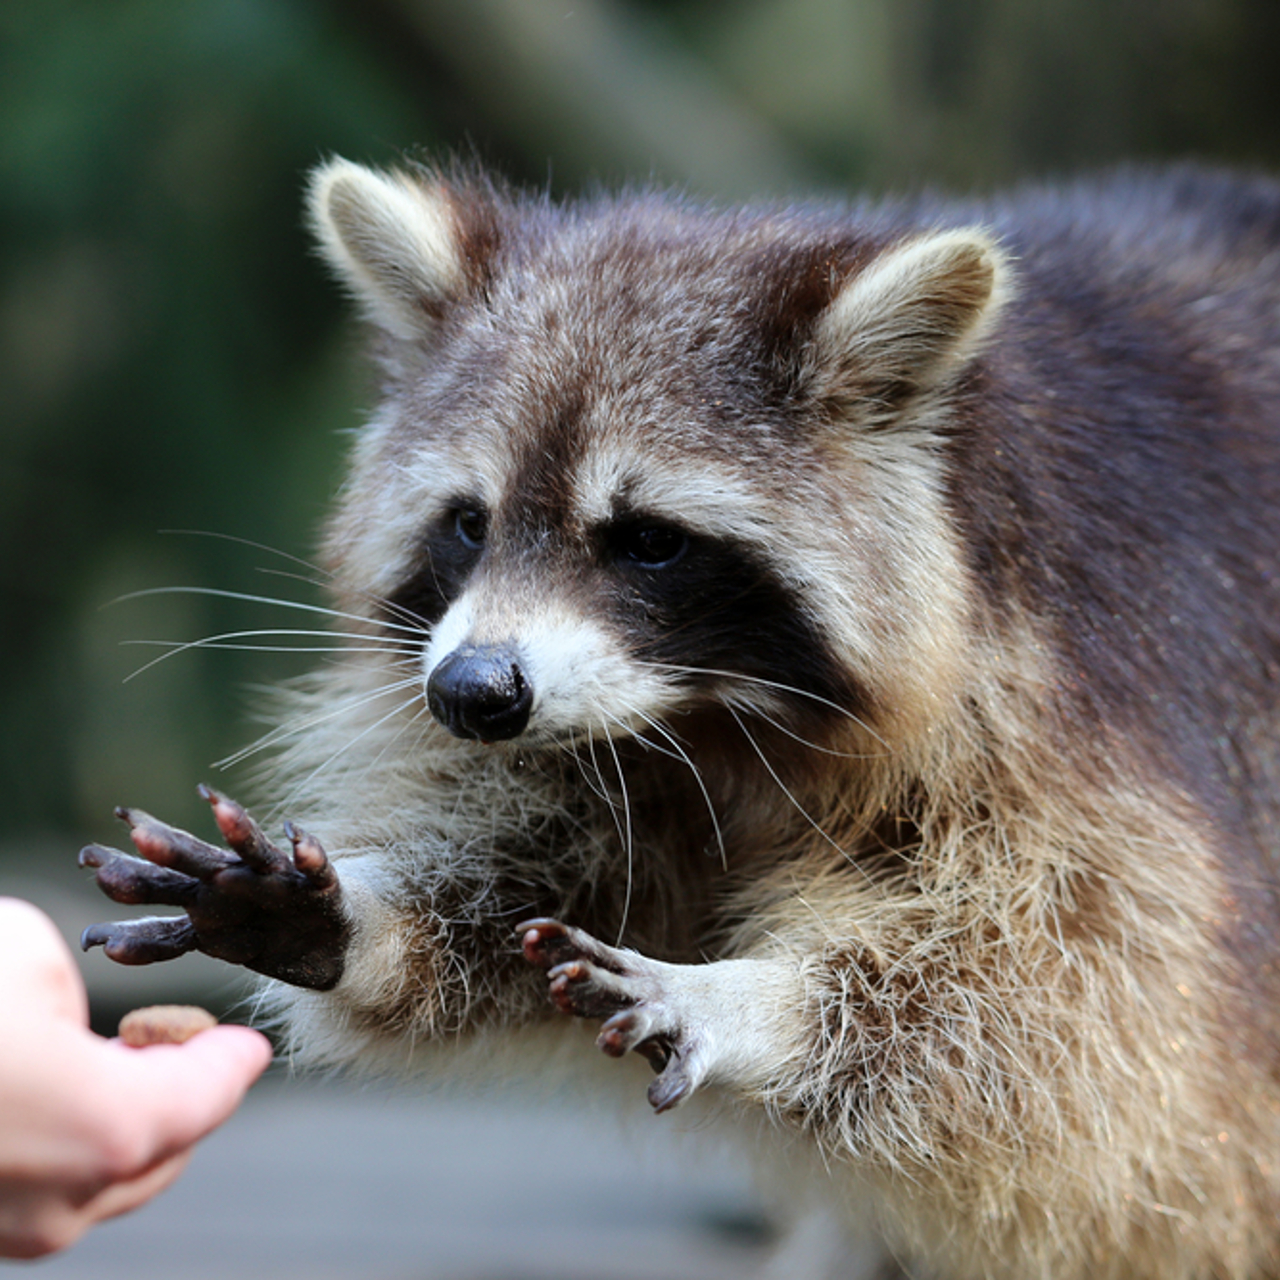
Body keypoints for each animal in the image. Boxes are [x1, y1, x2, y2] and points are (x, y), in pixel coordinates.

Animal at [80, 160, 1280, 1280]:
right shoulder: (617, 745)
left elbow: (1074, 991)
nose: (471, 692)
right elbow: (565, 858)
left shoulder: (1096, 688)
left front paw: (760, 1002)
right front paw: (357, 921)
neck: (712, 709)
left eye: (649, 540)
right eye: (468, 523)